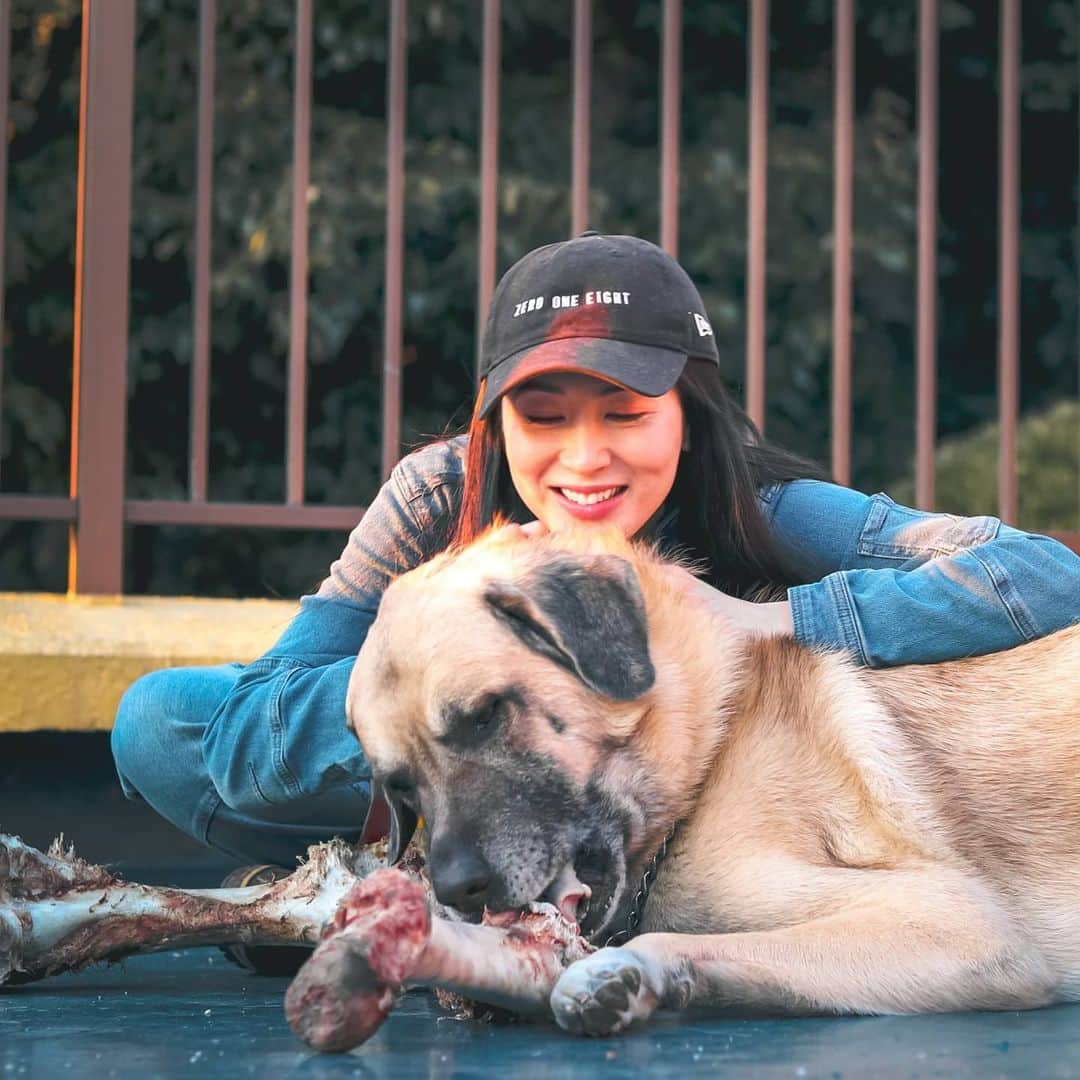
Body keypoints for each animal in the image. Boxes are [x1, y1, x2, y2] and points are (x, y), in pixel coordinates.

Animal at [345, 520, 1080, 1028]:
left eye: (485, 715)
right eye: (400, 784)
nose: (456, 890)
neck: (714, 743)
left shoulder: (958, 922)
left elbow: (675, 938)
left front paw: (628, 969)